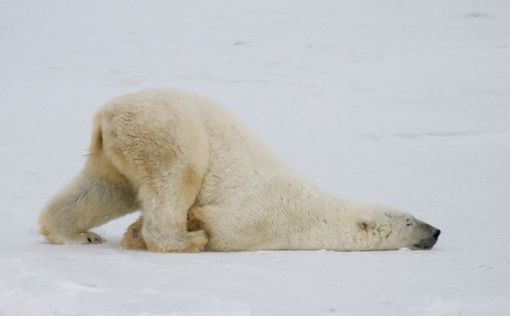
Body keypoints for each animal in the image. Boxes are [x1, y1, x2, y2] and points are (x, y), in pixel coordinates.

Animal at [37, 89, 440, 252]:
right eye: (409, 220)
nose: (436, 231)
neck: (315, 214)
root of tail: (106, 114)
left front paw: (132, 234)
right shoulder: (265, 217)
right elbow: (221, 227)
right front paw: (187, 227)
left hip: (118, 151)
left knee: (103, 188)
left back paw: (77, 234)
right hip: (165, 132)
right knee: (177, 176)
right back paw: (184, 240)